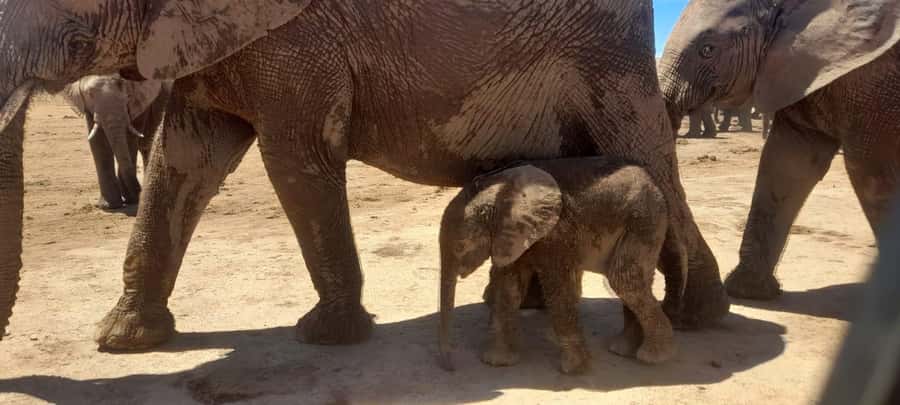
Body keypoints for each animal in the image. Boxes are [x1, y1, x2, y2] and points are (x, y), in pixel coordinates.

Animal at [60, 75, 171, 209]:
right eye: (89, 94)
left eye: (127, 94)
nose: (137, 194)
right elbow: (98, 141)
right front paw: (109, 205)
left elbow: (130, 138)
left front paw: (131, 199)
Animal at [437, 158, 677, 374]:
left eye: (460, 246)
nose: (452, 368)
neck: (497, 191)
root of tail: (651, 179)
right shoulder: (511, 237)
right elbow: (509, 288)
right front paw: (498, 362)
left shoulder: (555, 234)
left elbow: (558, 288)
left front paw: (574, 370)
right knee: (634, 279)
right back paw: (622, 349)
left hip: (645, 219)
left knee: (623, 280)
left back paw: (651, 357)